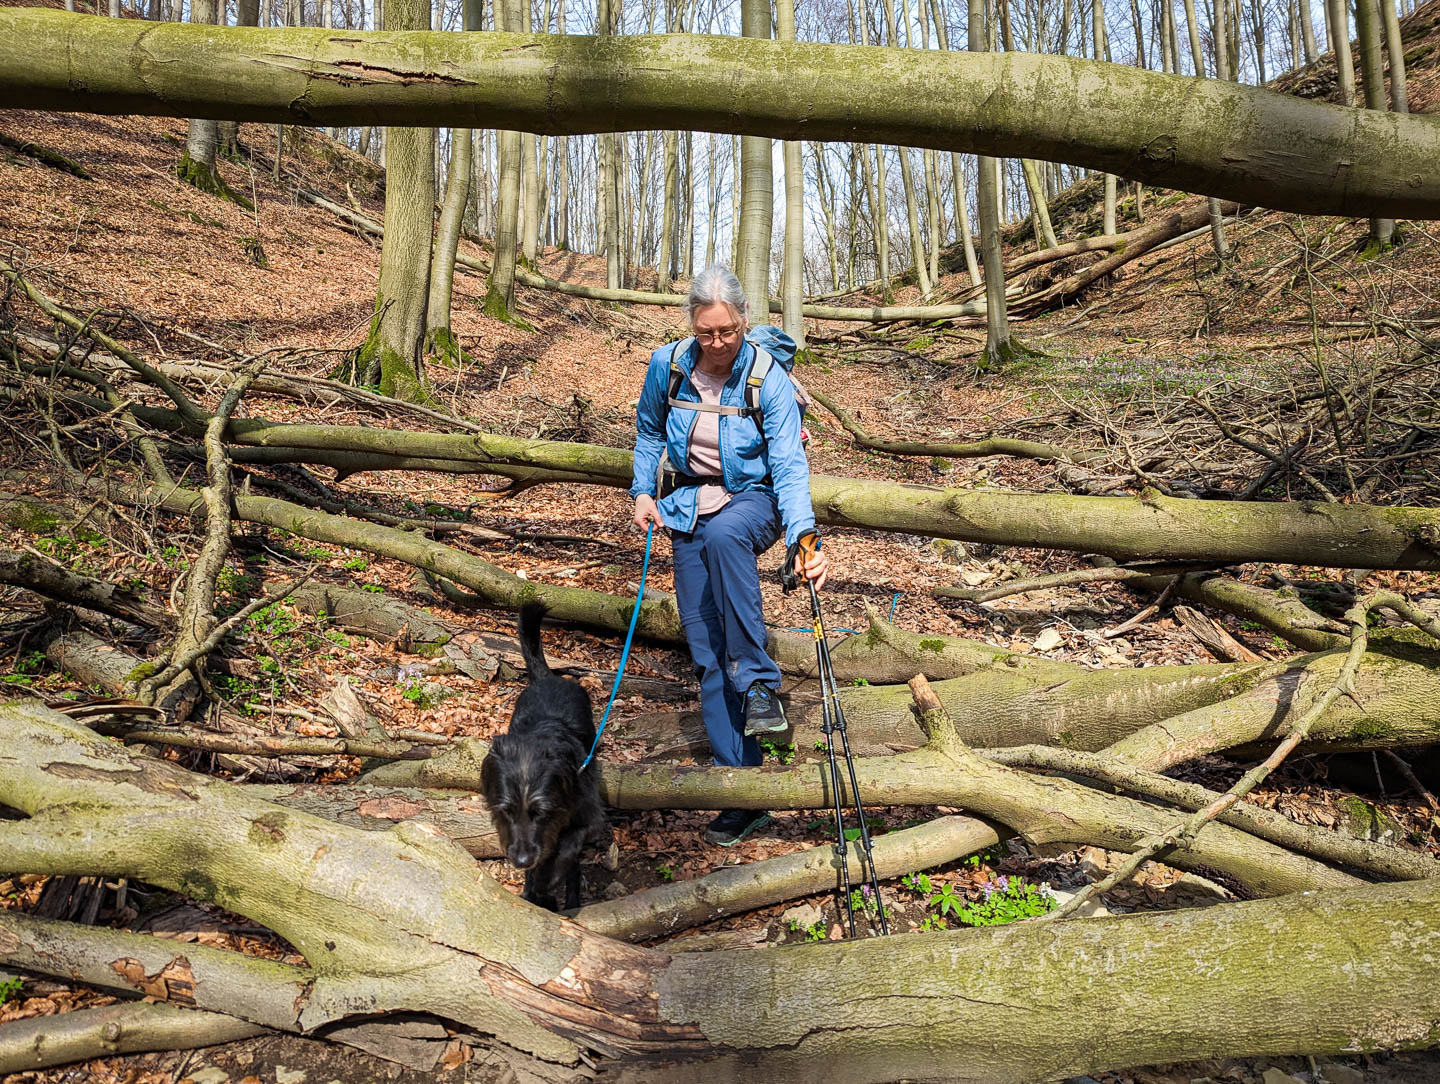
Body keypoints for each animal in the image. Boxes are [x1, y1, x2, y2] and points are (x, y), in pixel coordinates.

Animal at [478, 604, 601, 909]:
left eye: (541, 812)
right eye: (506, 811)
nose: (521, 861)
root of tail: (549, 678)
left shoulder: (589, 818)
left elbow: (567, 847)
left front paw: (548, 880)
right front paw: (534, 888)